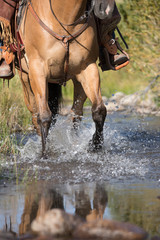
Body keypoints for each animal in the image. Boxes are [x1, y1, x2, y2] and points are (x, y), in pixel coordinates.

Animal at [18, 0, 114, 155]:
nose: (106, 10)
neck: (64, 19)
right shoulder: (38, 70)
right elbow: (44, 116)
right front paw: (44, 154)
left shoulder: (88, 67)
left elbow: (99, 110)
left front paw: (95, 145)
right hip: (26, 80)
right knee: (36, 116)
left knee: (77, 113)